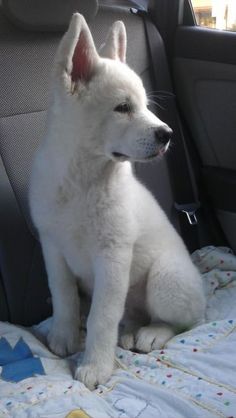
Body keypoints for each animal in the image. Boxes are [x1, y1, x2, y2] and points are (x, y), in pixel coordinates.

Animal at [29, 13, 206, 392]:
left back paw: (152, 333)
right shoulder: (52, 246)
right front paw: (64, 336)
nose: (167, 135)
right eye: (123, 108)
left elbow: (102, 317)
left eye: (145, 105)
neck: (82, 179)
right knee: (135, 316)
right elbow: (64, 296)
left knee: (188, 321)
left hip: (166, 280)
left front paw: (95, 366)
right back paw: (131, 331)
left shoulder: (112, 256)